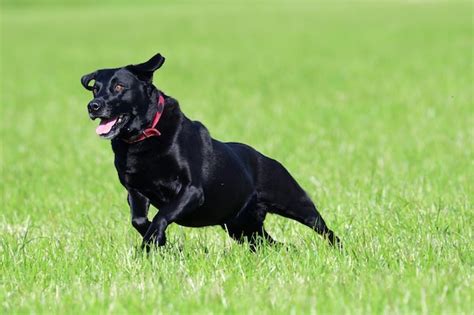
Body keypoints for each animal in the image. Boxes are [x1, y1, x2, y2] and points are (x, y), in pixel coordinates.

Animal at [81, 54, 340, 252]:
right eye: (95, 89)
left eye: (119, 87)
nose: (93, 106)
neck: (143, 139)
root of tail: (265, 157)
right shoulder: (134, 191)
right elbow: (139, 220)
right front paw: (157, 241)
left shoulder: (192, 190)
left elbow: (163, 214)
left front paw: (155, 239)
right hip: (240, 226)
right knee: (269, 242)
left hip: (294, 201)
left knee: (324, 228)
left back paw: (340, 250)